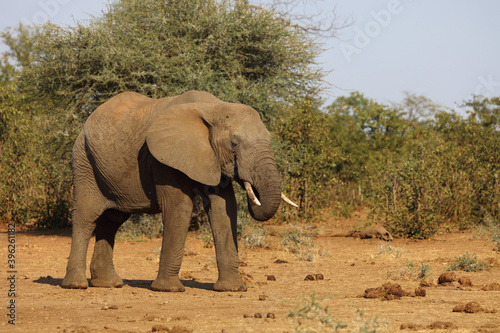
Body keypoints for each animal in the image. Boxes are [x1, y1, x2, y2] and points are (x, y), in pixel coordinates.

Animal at [62, 90, 296, 290]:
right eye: (234, 143)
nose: (252, 189)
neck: (213, 107)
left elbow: (224, 208)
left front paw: (233, 288)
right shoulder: (163, 158)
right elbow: (180, 207)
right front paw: (169, 289)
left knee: (111, 221)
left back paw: (109, 284)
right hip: (84, 162)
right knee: (86, 217)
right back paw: (76, 285)